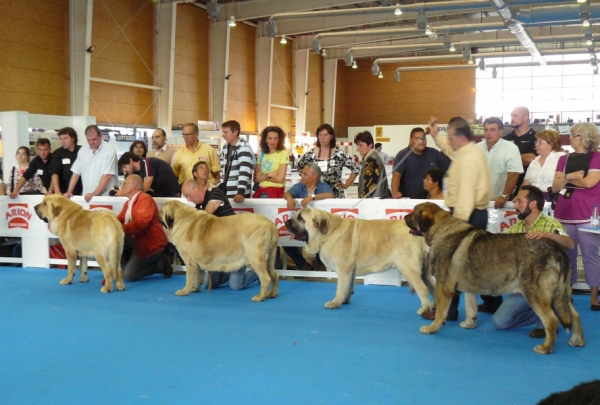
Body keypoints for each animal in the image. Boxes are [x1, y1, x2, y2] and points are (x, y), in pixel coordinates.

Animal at [284, 207, 434, 310]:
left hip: (409, 269)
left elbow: (340, 287)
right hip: (425, 272)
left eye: (300, 218)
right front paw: (345, 300)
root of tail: (418, 234)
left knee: (422, 288)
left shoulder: (344, 269)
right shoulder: (350, 271)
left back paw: (424, 309)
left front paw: (336, 302)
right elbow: (348, 287)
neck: (327, 233)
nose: (286, 222)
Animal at [404, 202, 584, 354]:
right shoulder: (469, 289)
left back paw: (546, 347)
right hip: (562, 294)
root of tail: (557, 248)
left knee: (552, 320)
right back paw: (577, 340)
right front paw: (469, 323)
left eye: (413, 213)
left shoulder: (443, 288)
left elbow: (440, 313)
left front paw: (432, 328)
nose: (404, 216)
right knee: (574, 315)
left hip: (536, 295)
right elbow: (471, 308)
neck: (441, 230)